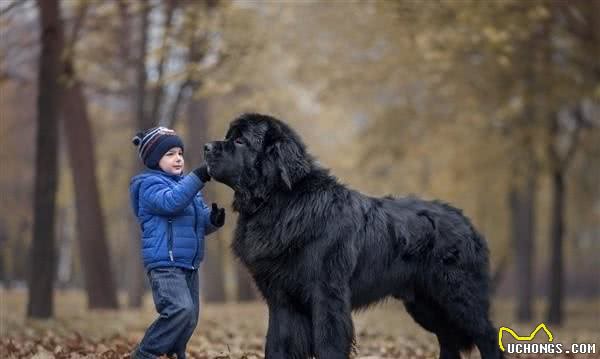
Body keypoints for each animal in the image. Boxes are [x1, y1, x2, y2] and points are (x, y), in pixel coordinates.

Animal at [205, 114, 502, 359]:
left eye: (240, 140)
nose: (206, 147)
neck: (280, 203)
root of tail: (466, 221)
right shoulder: (282, 301)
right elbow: (277, 344)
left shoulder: (327, 295)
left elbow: (328, 344)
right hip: (424, 304)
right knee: (448, 340)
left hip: (459, 296)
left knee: (486, 336)